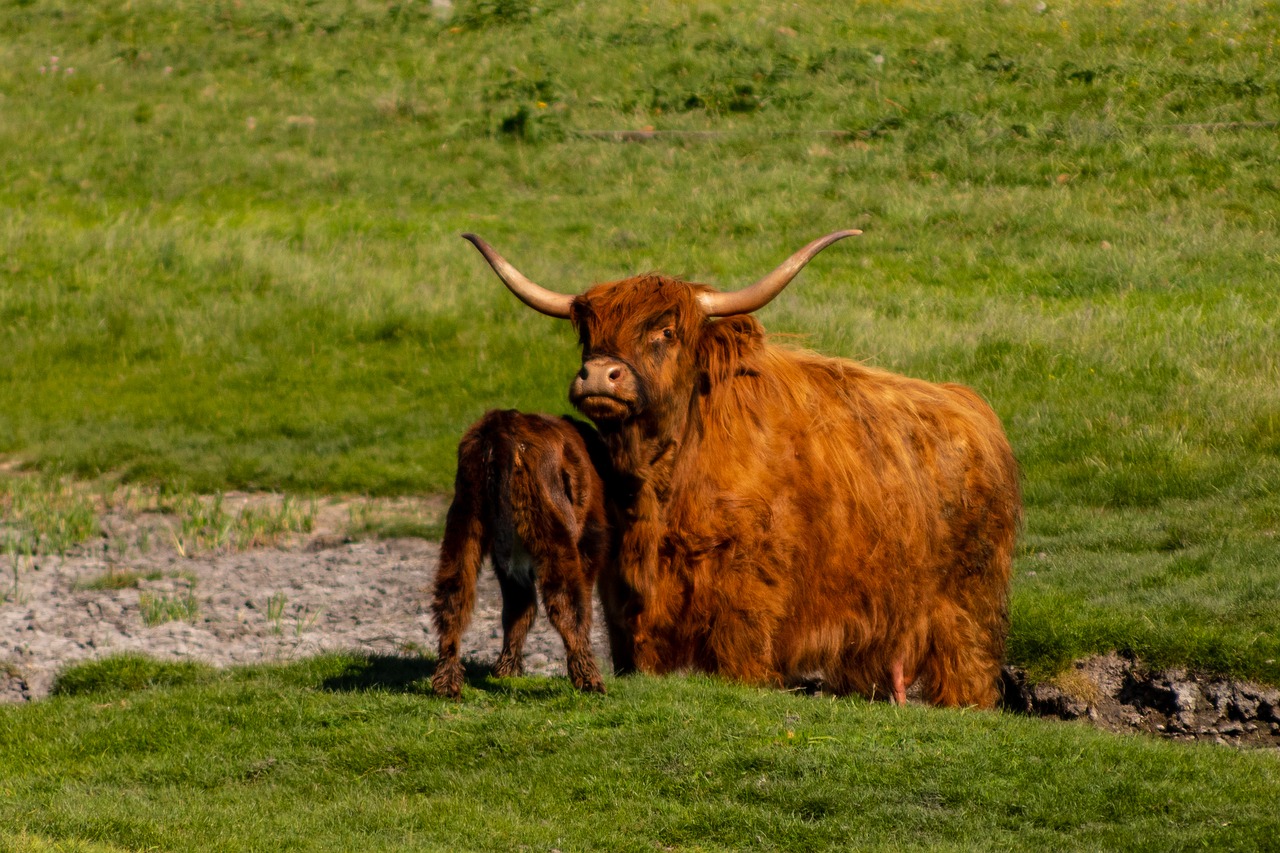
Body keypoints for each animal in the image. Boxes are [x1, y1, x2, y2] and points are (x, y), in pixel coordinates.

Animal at [427, 409, 611, 696]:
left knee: (453, 598)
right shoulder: (589, 545)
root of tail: (501, 423)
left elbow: (517, 610)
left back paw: (447, 683)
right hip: (554, 538)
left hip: (464, 525)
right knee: (565, 604)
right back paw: (590, 680)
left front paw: (507, 671)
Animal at [465, 230, 1024, 701]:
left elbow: (741, 660)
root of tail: (970, 403)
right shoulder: (626, 595)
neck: (660, 485)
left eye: (666, 331)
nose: (600, 374)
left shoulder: (748, 587)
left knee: (969, 676)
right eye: (588, 336)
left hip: (964, 609)